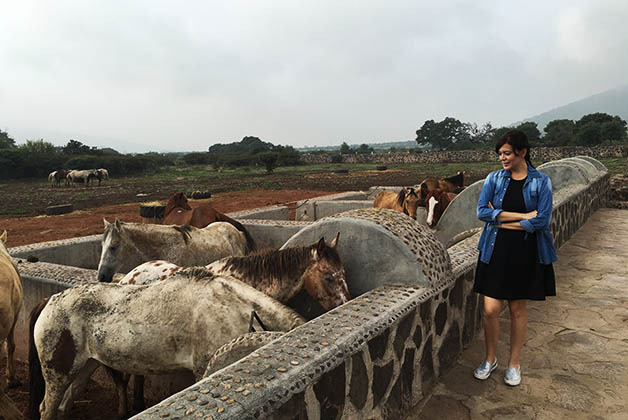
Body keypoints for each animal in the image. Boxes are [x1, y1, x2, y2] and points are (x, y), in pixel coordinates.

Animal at [30, 268, 306, 420]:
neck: (235, 307)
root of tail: (49, 300)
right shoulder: (203, 368)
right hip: (57, 374)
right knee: (47, 408)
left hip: (86, 367)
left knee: (65, 405)